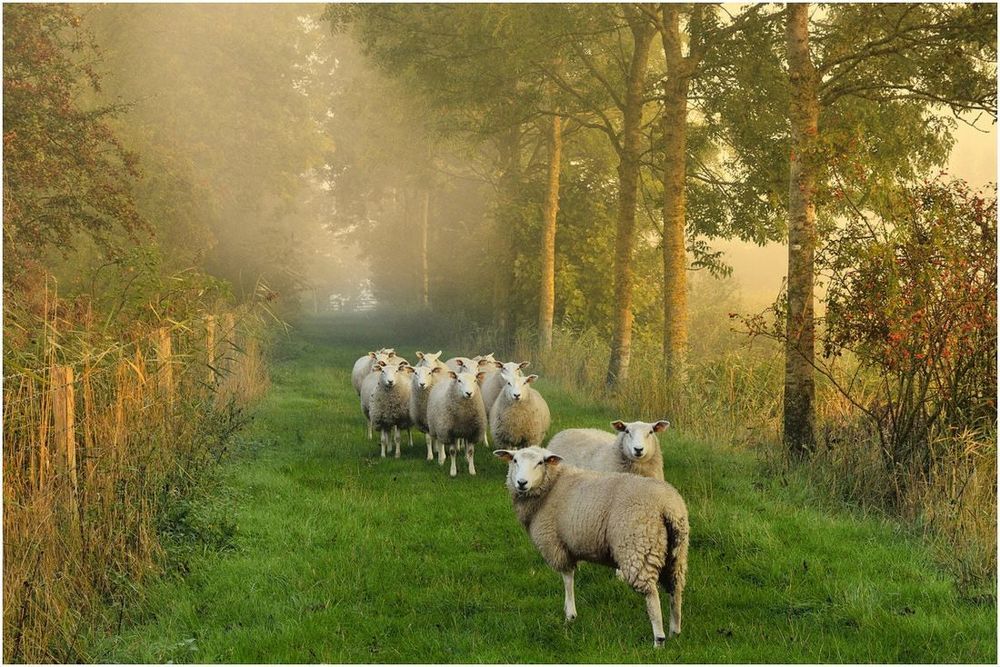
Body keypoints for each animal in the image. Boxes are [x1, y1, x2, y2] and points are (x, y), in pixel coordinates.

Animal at [494, 447, 689, 648]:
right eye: (515, 460)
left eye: (540, 462)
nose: (521, 483)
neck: (551, 487)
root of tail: (668, 506)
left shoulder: (556, 545)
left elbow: (567, 578)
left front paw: (570, 615)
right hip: (675, 552)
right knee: (675, 588)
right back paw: (675, 630)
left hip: (638, 547)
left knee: (651, 594)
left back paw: (659, 640)